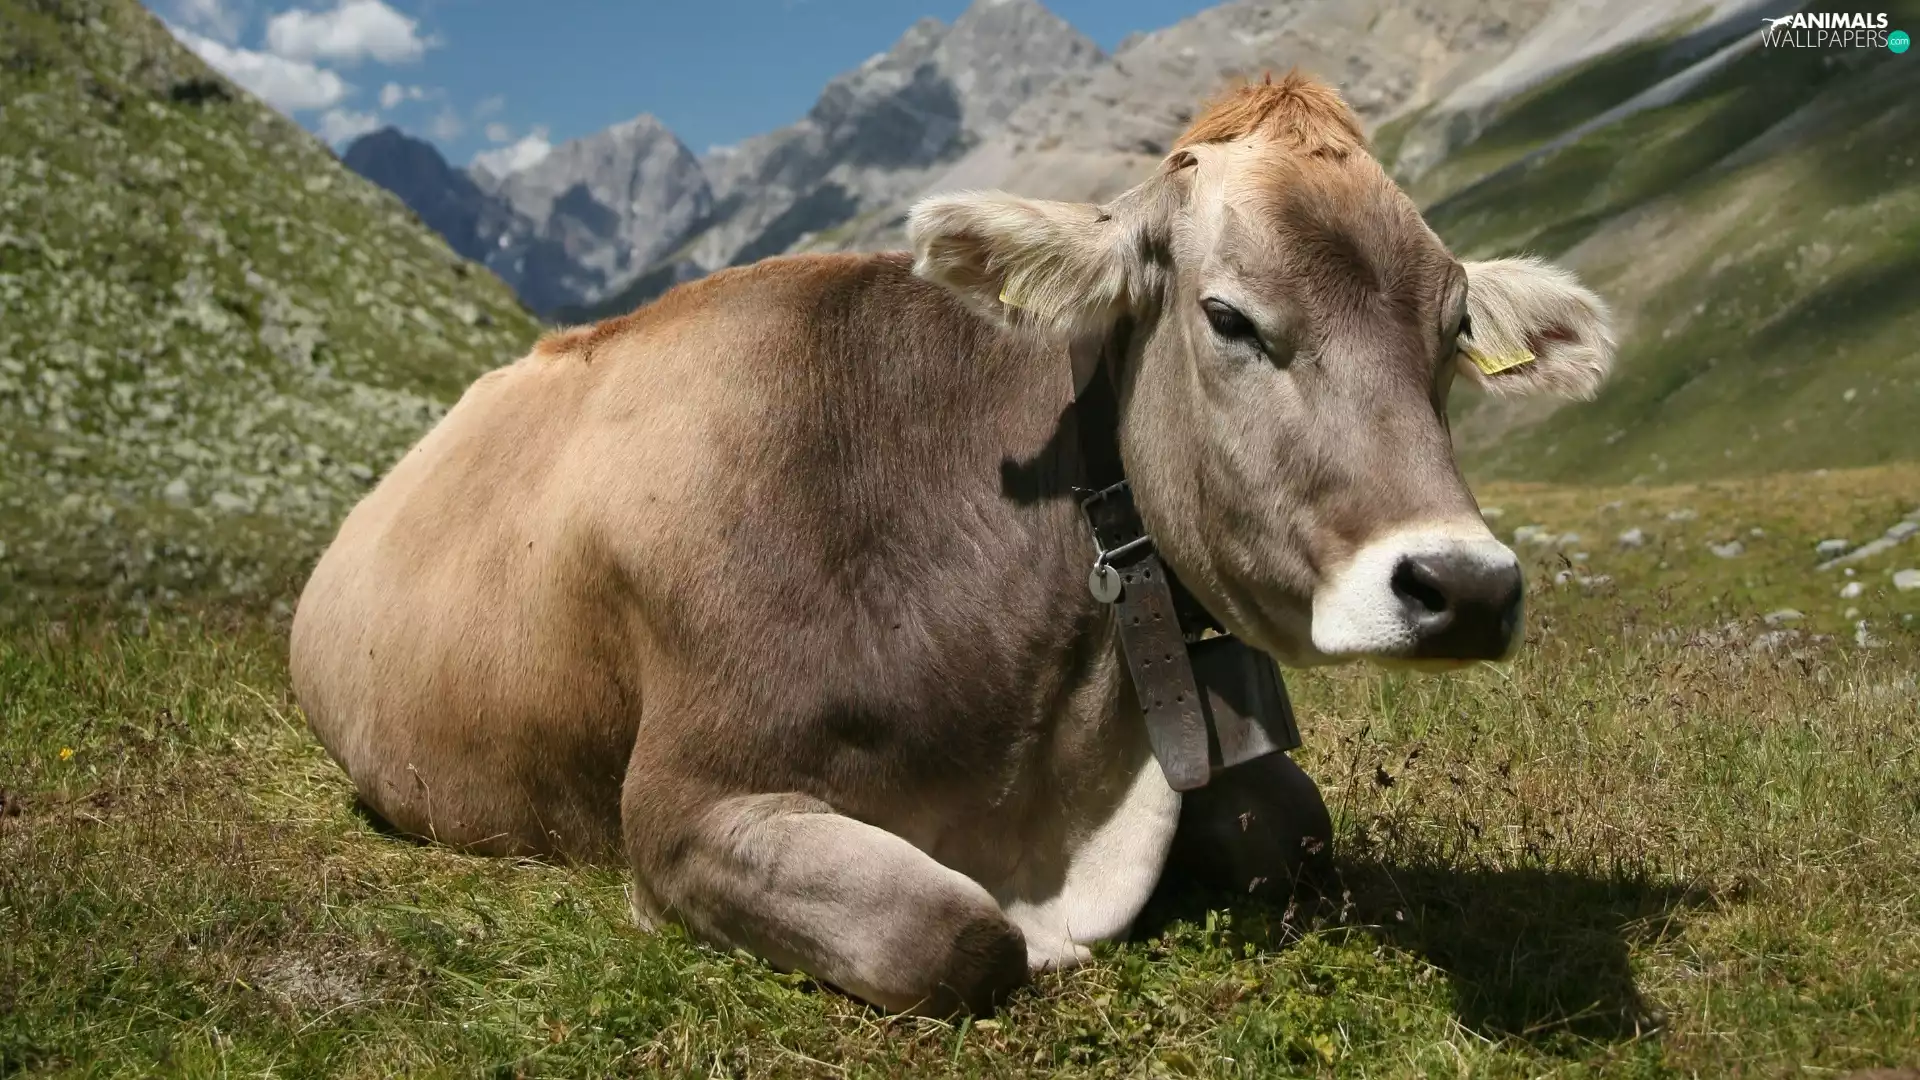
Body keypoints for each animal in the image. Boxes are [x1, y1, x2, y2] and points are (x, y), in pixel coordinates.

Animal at [289, 72, 1615, 1018]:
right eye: (1229, 317)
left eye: (1452, 329)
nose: (1464, 587)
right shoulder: (683, 808)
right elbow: (959, 937)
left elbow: (1295, 831)